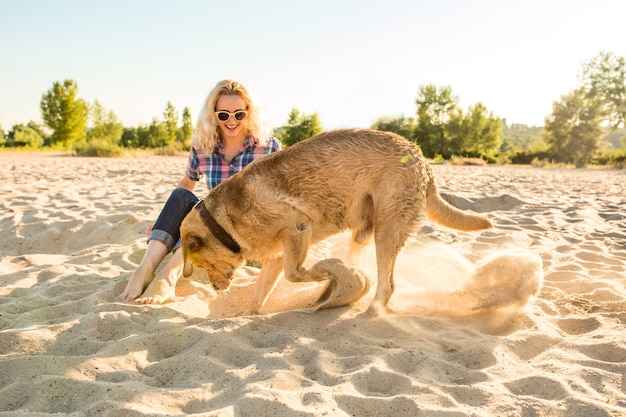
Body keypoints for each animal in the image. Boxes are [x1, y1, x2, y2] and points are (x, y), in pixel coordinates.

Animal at [180, 128, 492, 314]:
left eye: (201, 265)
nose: (215, 289)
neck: (223, 223)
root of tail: (422, 160)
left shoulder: (298, 228)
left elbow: (296, 273)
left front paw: (327, 273)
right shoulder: (277, 256)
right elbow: (259, 295)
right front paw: (246, 315)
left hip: (387, 230)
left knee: (387, 284)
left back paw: (368, 309)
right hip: (364, 230)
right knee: (365, 264)